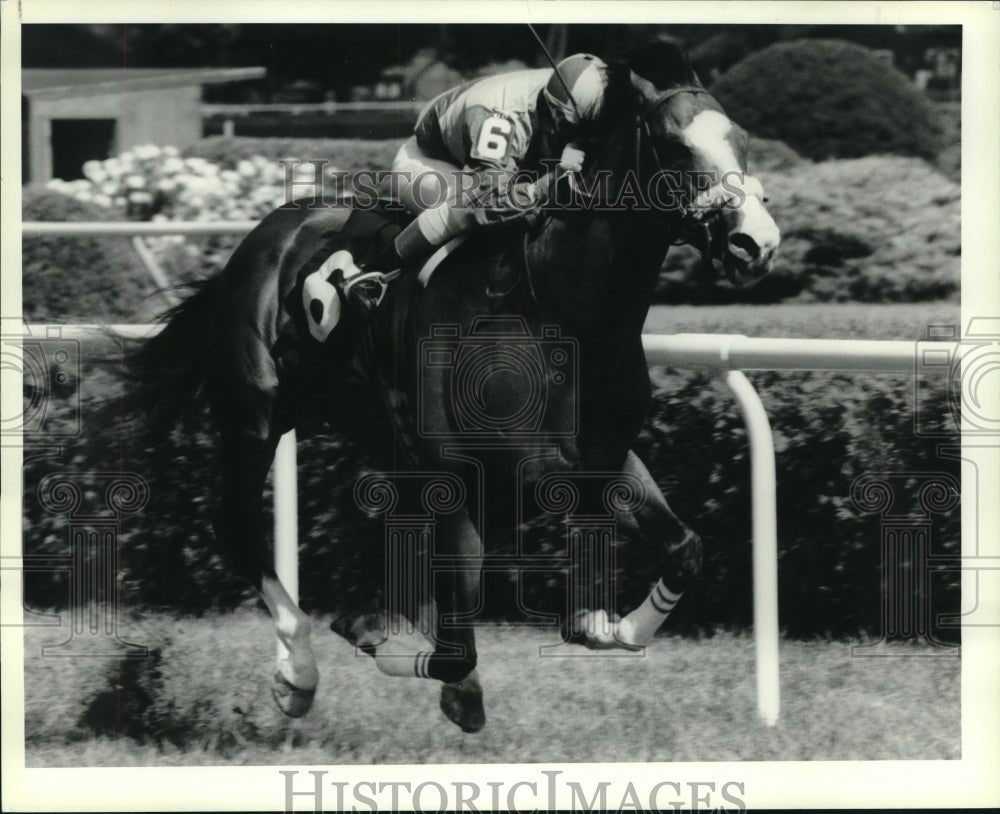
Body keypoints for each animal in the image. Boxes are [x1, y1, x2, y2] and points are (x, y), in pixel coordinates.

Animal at [121, 38, 780, 736]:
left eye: (741, 139)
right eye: (676, 147)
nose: (755, 243)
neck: (560, 312)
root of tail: (262, 238)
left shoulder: (599, 461)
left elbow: (684, 549)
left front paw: (608, 624)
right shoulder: (466, 477)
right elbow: (455, 652)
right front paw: (391, 642)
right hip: (255, 415)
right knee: (237, 528)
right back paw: (296, 673)